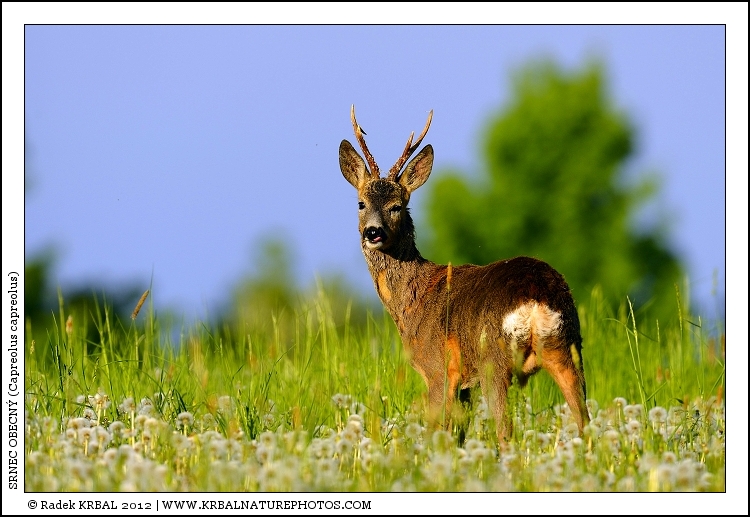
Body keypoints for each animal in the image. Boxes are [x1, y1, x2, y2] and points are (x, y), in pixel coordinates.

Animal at [338, 106, 591, 441]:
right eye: (361, 203)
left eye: (397, 206)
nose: (373, 232)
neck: (410, 304)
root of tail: (536, 297)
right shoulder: (465, 385)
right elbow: (457, 434)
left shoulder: (438, 369)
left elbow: (436, 432)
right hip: (569, 348)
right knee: (585, 421)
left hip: (494, 360)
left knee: (506, 431)